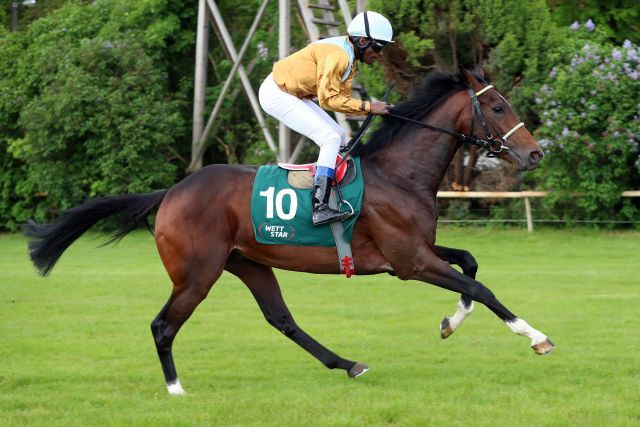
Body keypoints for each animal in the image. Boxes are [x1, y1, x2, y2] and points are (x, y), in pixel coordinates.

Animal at [25, 67, 552, 398]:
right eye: (498, 107)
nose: (535, 154)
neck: (399, 174)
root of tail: (172, 192)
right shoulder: (410, 262)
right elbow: (481, 287)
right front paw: (536, 337)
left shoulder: (416, 251)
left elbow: (470, 265)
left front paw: (449, 323)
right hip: (196, 274)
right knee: (163, 325)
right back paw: (176, 389)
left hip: (249, 263)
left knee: (281, 319)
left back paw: (347, 363)